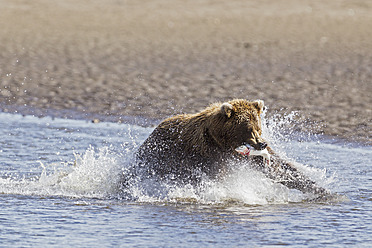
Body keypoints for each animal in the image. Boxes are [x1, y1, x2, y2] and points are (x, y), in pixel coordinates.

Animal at [135, 99, 326, 196]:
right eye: (248, 129)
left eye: (258, 128)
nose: (262, 143)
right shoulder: (208, 154)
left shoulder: (245, 156)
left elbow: (281, 169)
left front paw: (321, 190)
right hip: (158, 155)